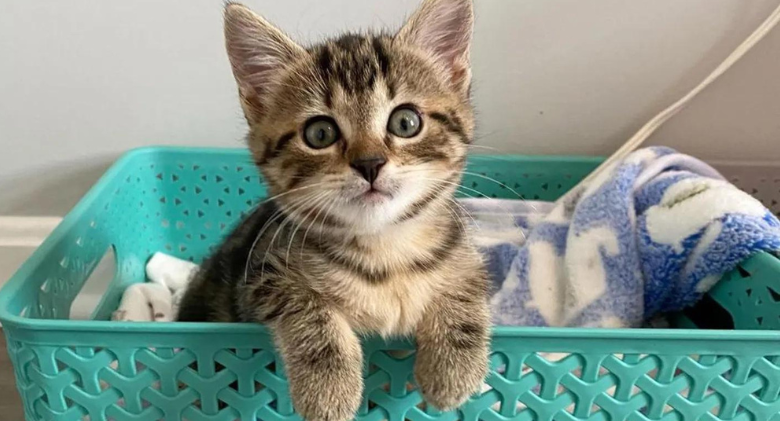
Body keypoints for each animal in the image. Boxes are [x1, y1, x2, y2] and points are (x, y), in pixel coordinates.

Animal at [180, 0, 490, 418]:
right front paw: (329, 387)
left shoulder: (461, 247)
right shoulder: (259, 275)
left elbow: (468, 280)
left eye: (406, 122)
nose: (370, 163)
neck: (384, 252)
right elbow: (305, 304)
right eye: (320, 133)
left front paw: (454, 366)